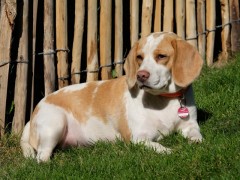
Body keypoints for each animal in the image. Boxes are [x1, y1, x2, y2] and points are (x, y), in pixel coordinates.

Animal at [21, 31, 203, 162]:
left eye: (161, 56)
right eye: (139, 57)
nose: (141, 75)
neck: (165, 99)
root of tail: (34, 111)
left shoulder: (190, 125)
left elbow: (198, 137)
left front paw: (194, 142)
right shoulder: (139, 137)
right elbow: (159, 146)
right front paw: (170, 150)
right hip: (55, 123)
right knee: (41, 157)